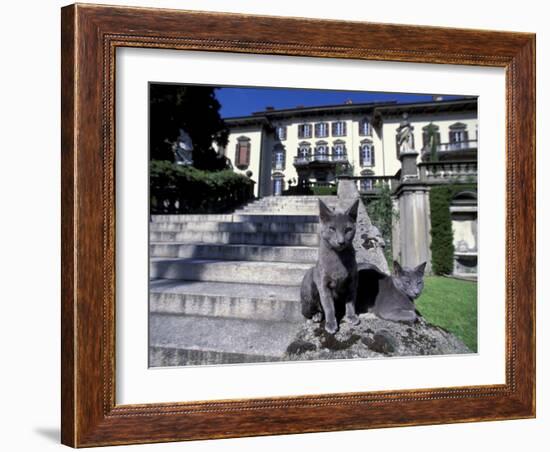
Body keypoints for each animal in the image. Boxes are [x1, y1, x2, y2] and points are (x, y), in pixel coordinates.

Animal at [302, 200, 362, 334]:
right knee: (308, 312)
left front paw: (351, 316)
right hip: (309, 286)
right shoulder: (323, 283)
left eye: (348, 229)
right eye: (332, 229)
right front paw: (330, 324)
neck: (339, 259)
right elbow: (328, 306)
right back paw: (317, 315)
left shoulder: (353, 280)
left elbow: (351, 299)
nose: (341, 242)